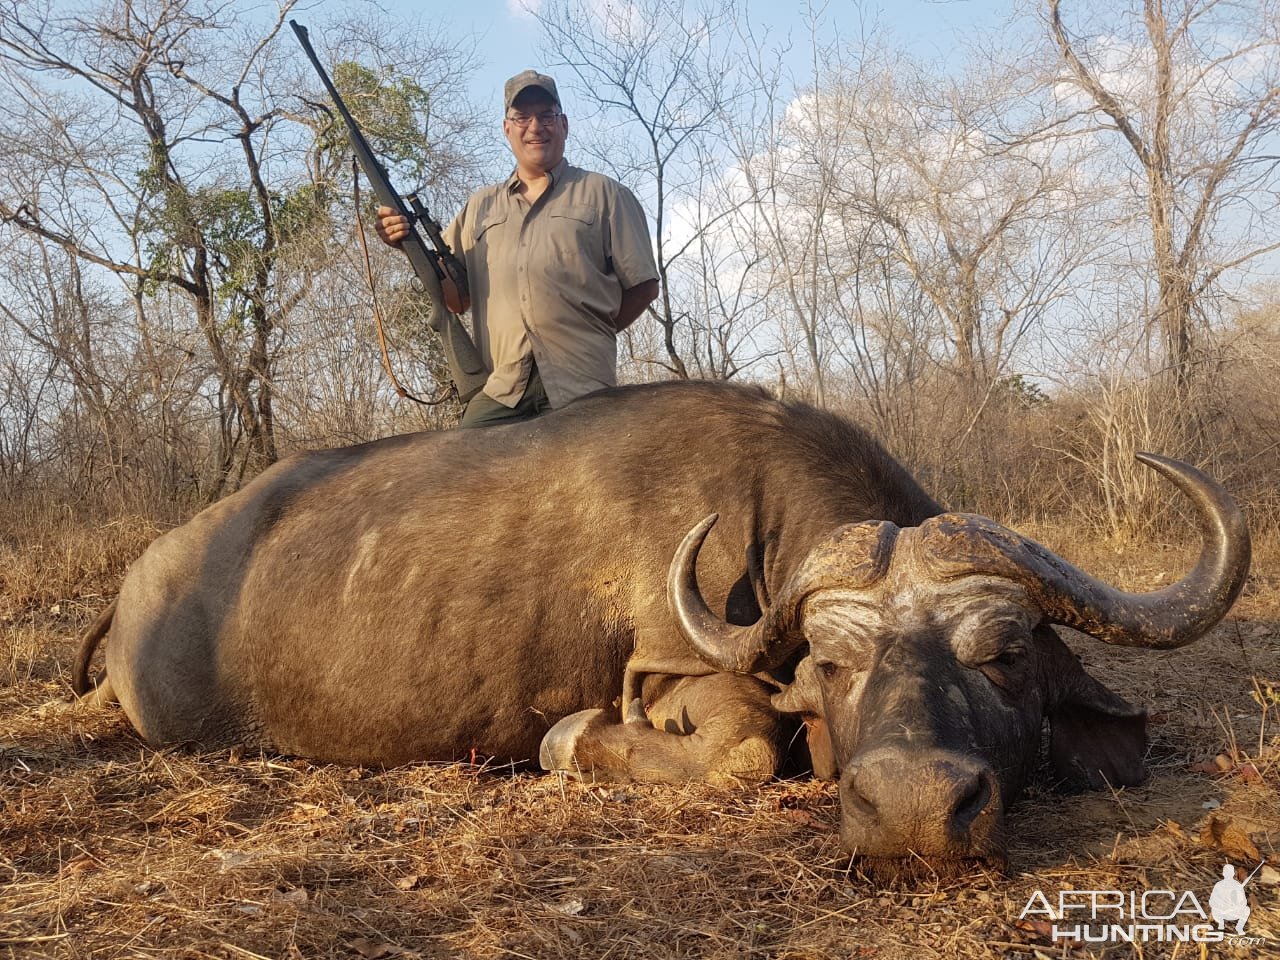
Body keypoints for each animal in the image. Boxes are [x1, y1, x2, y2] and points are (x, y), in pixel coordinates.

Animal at [72, 381, 1249, 870]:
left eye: (1003, 658)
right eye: (832, 663)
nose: (914, 812)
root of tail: (144, 584)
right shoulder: (678, 672)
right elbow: (745, 750)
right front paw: (564, 741)